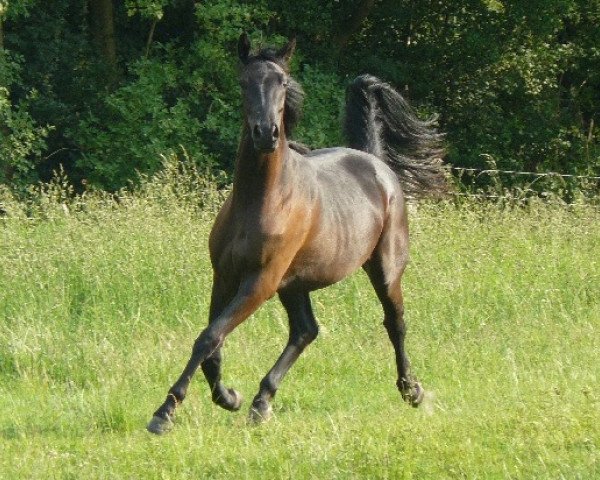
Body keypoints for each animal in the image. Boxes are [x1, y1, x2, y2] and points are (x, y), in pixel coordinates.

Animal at [145, 31, 446, 434]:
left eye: (283, 83)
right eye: (244, 82)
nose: (266, 134)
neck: (261, 200)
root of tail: (376, 163)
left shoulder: (260, 281)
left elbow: (210, 336)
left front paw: (165, 412)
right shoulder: (225, 276)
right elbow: (212, 343)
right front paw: (229, 397)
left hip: (383, 269)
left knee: (394, 322)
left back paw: (411, 391)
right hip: (295, 284)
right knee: (306, 330)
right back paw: (261, 402)